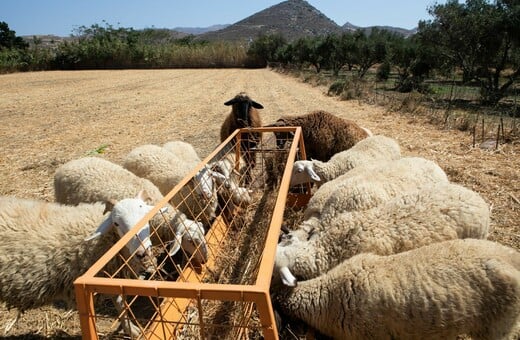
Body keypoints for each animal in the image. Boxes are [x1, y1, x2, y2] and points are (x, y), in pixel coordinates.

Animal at [0, 193, 161, 336]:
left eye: (147, 216)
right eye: (116, 223)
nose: (142, 252)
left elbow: (120, 303)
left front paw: (130, 328)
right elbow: (120, 303)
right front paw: (132, 330)